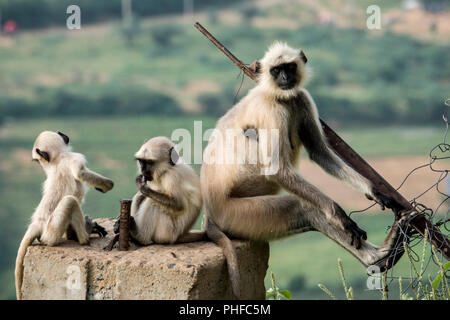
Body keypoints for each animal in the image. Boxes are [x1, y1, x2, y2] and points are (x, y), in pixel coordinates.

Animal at [15, 131, 114, 300]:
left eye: (38, 161)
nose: (64, 134)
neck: (57, 159)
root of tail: (37, 223)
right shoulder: (73, 157)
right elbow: (80, 173)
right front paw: (107, 185)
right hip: (51, 231)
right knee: (70, 201)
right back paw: (85, 236)